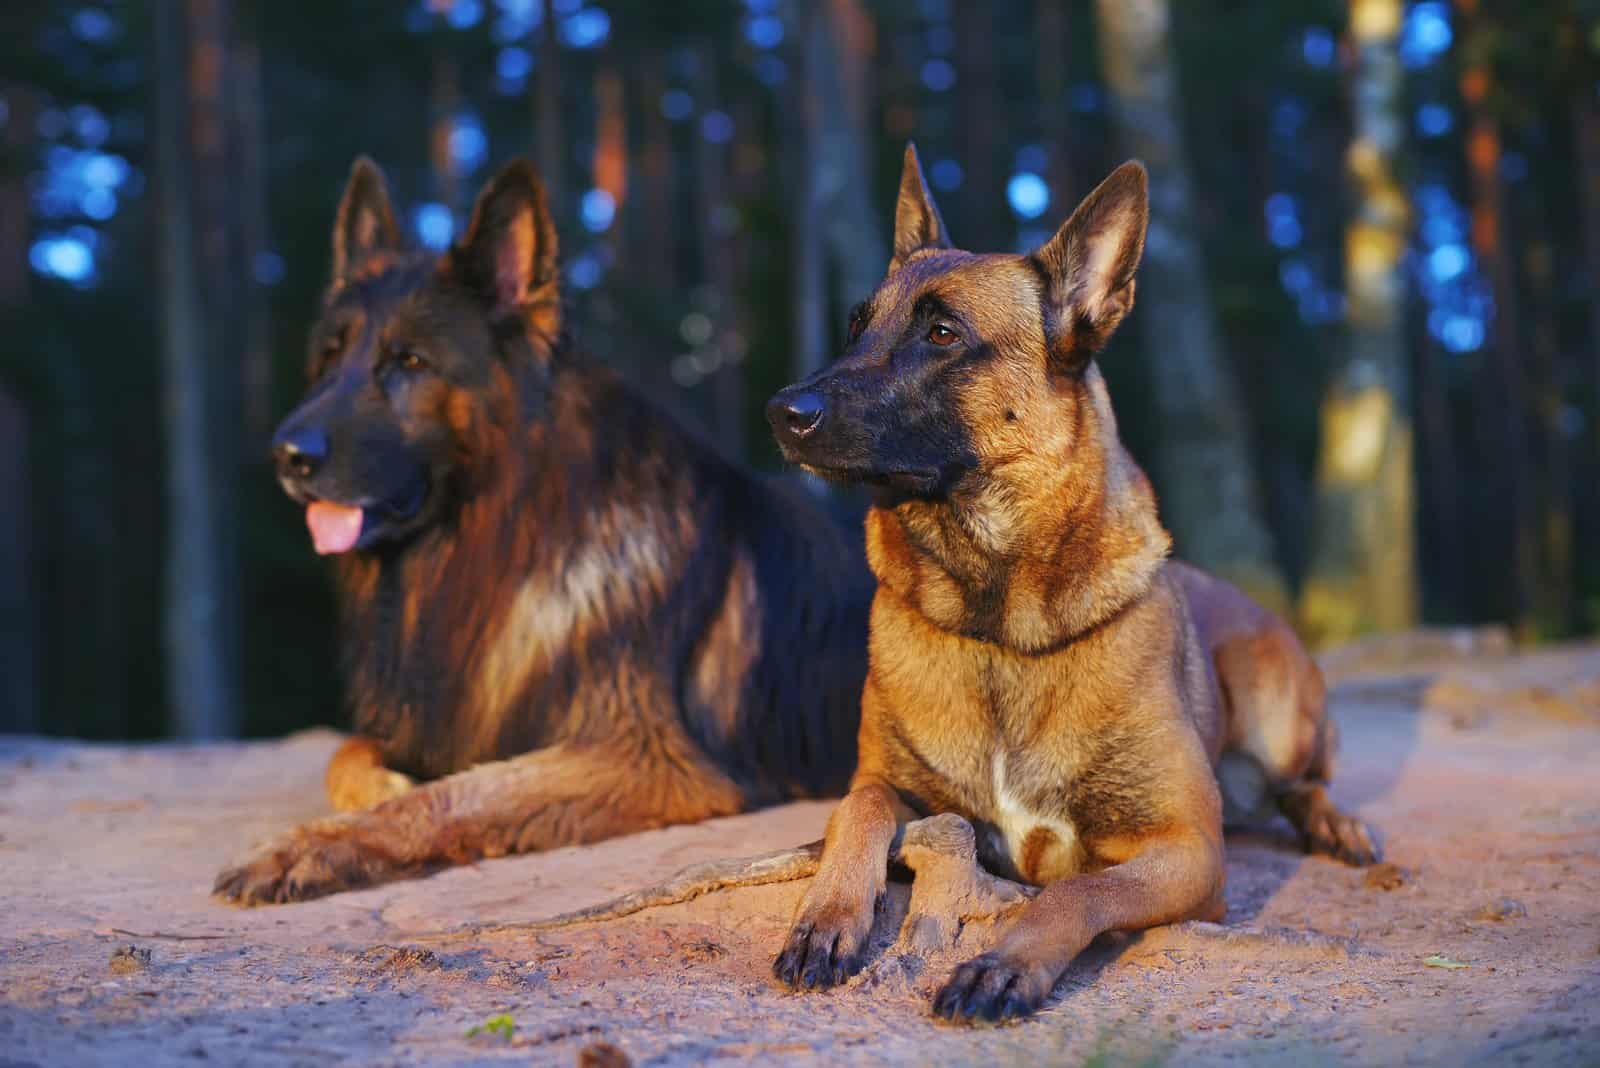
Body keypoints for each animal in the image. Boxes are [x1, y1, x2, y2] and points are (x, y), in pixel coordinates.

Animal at [214, 158, 876, 908]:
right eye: (331, 356)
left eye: (409, 362)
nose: (285, 456)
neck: (489, 538)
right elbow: (347, 754)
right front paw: (377, 785)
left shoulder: (644, 757)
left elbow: (454, 795)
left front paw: (309, 846)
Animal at [755, 146, 1369, 1023]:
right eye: (855, 325)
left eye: (942, 333)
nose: (781, 412)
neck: (1000, 625)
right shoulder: (889, 787)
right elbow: (859, 810)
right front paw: (828, 916)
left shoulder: (1187, 851)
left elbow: (1075, 893)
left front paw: (1005, 963)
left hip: (1276, 707)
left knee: (1305, 783)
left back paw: (1336, 825)